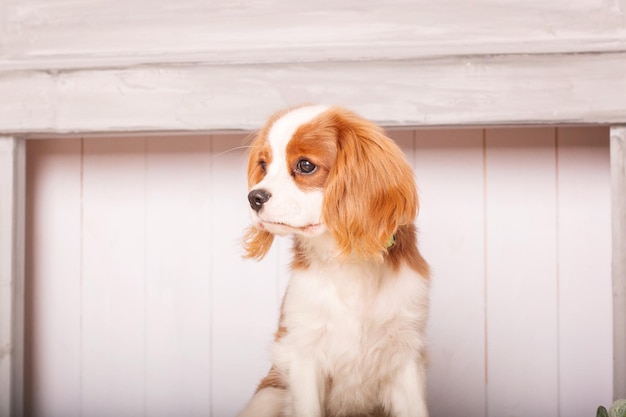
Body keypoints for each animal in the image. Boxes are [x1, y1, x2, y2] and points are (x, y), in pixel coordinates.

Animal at [236, 105, 426, 416]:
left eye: (305, 165)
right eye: (263, 165)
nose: (254, 197)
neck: (347, 262)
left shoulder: (405, 353)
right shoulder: (304, 354)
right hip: (268, 396)